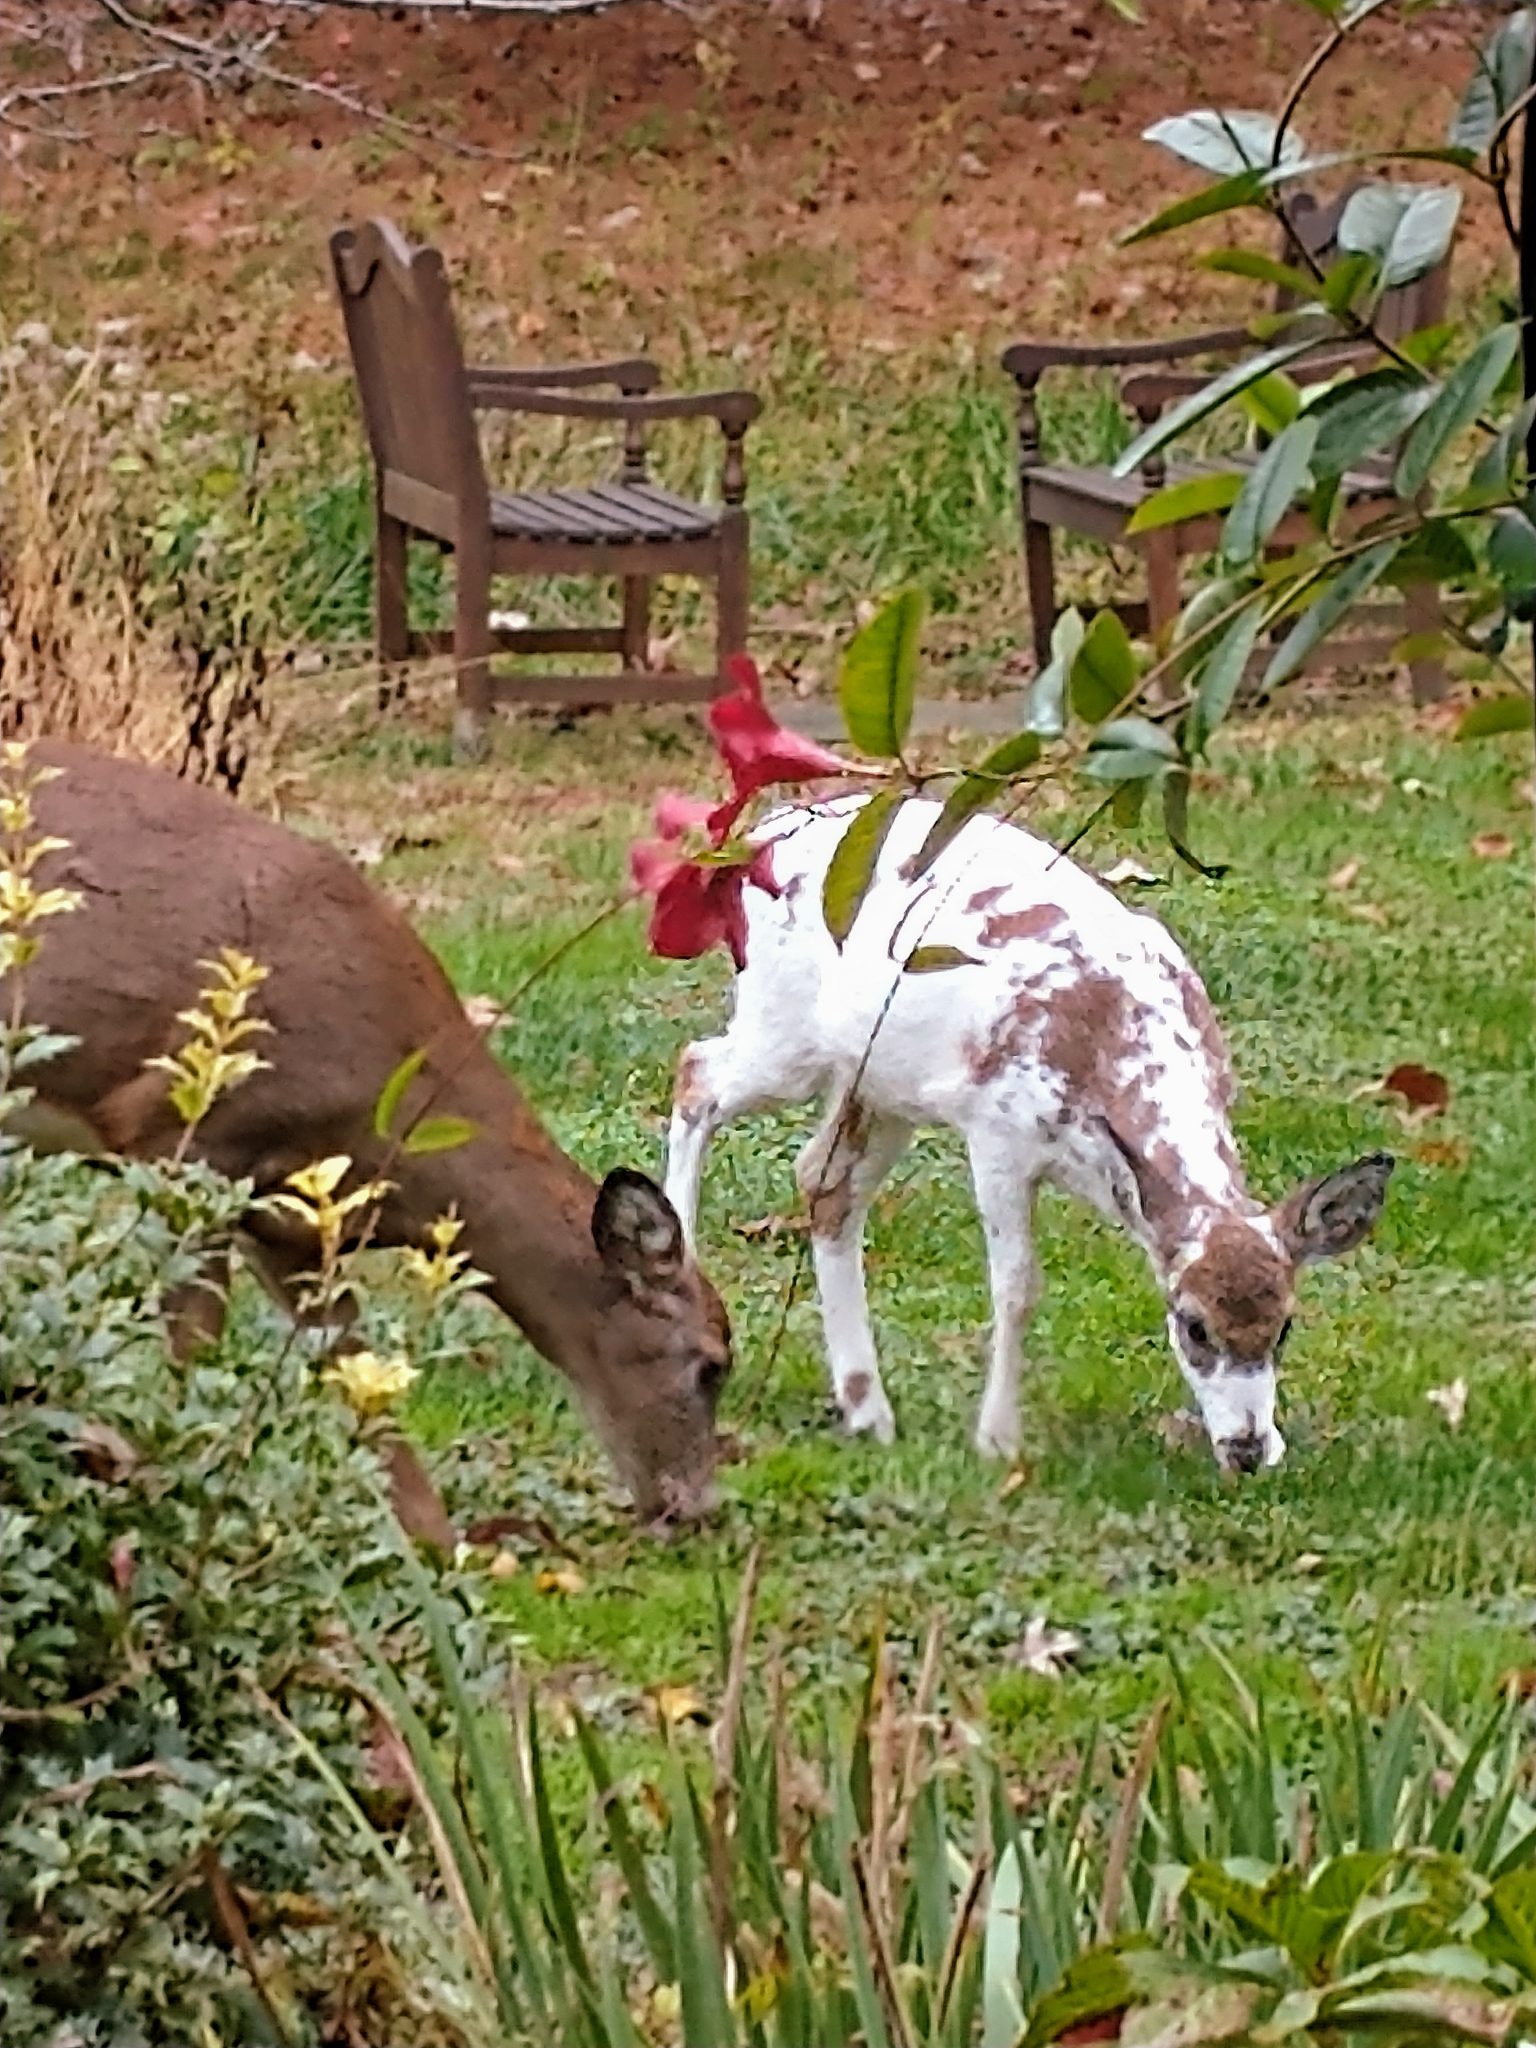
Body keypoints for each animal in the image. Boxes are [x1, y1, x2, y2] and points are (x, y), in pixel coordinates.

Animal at [1, 749, 733, 1540]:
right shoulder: (182, 1136)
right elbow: (194, 1353)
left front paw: (444, 1552)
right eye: (711, 1364)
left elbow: (361, 1389)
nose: (694, 1510)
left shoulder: (293, 1227)